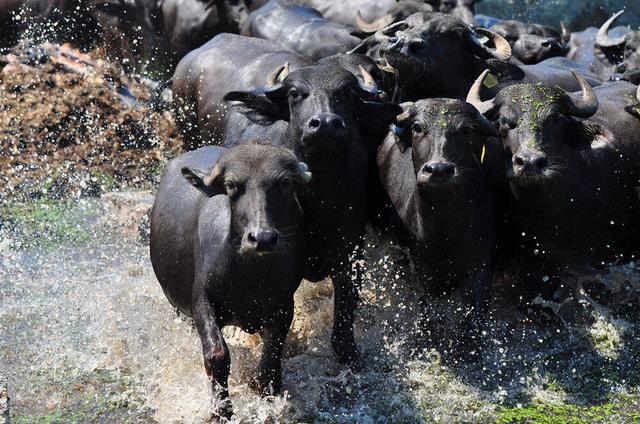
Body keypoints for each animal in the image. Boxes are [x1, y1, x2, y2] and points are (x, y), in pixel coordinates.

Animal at [150, 143, 310, 420]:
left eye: (284, 184)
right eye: (232, 185)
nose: (262, 238)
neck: (249, 278)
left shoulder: (283, 306)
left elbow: (270, 361)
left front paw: (268, 394)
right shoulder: (202, 302)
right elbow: (217, 355)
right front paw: (221, 410)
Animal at [224, 60, 400, 364]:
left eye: (347, 93)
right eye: (295, 93)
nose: (326, 123)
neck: (320, 204)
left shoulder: (350, 256)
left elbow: (343, 320)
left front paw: (350, 355)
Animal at [378, 98, 498, 354]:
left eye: (466, 130)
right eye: (418, 128)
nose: (439, 170)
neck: (442, 235)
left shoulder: (481, 266)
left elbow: (474, 321)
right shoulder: (419, 271)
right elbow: (428, 315)